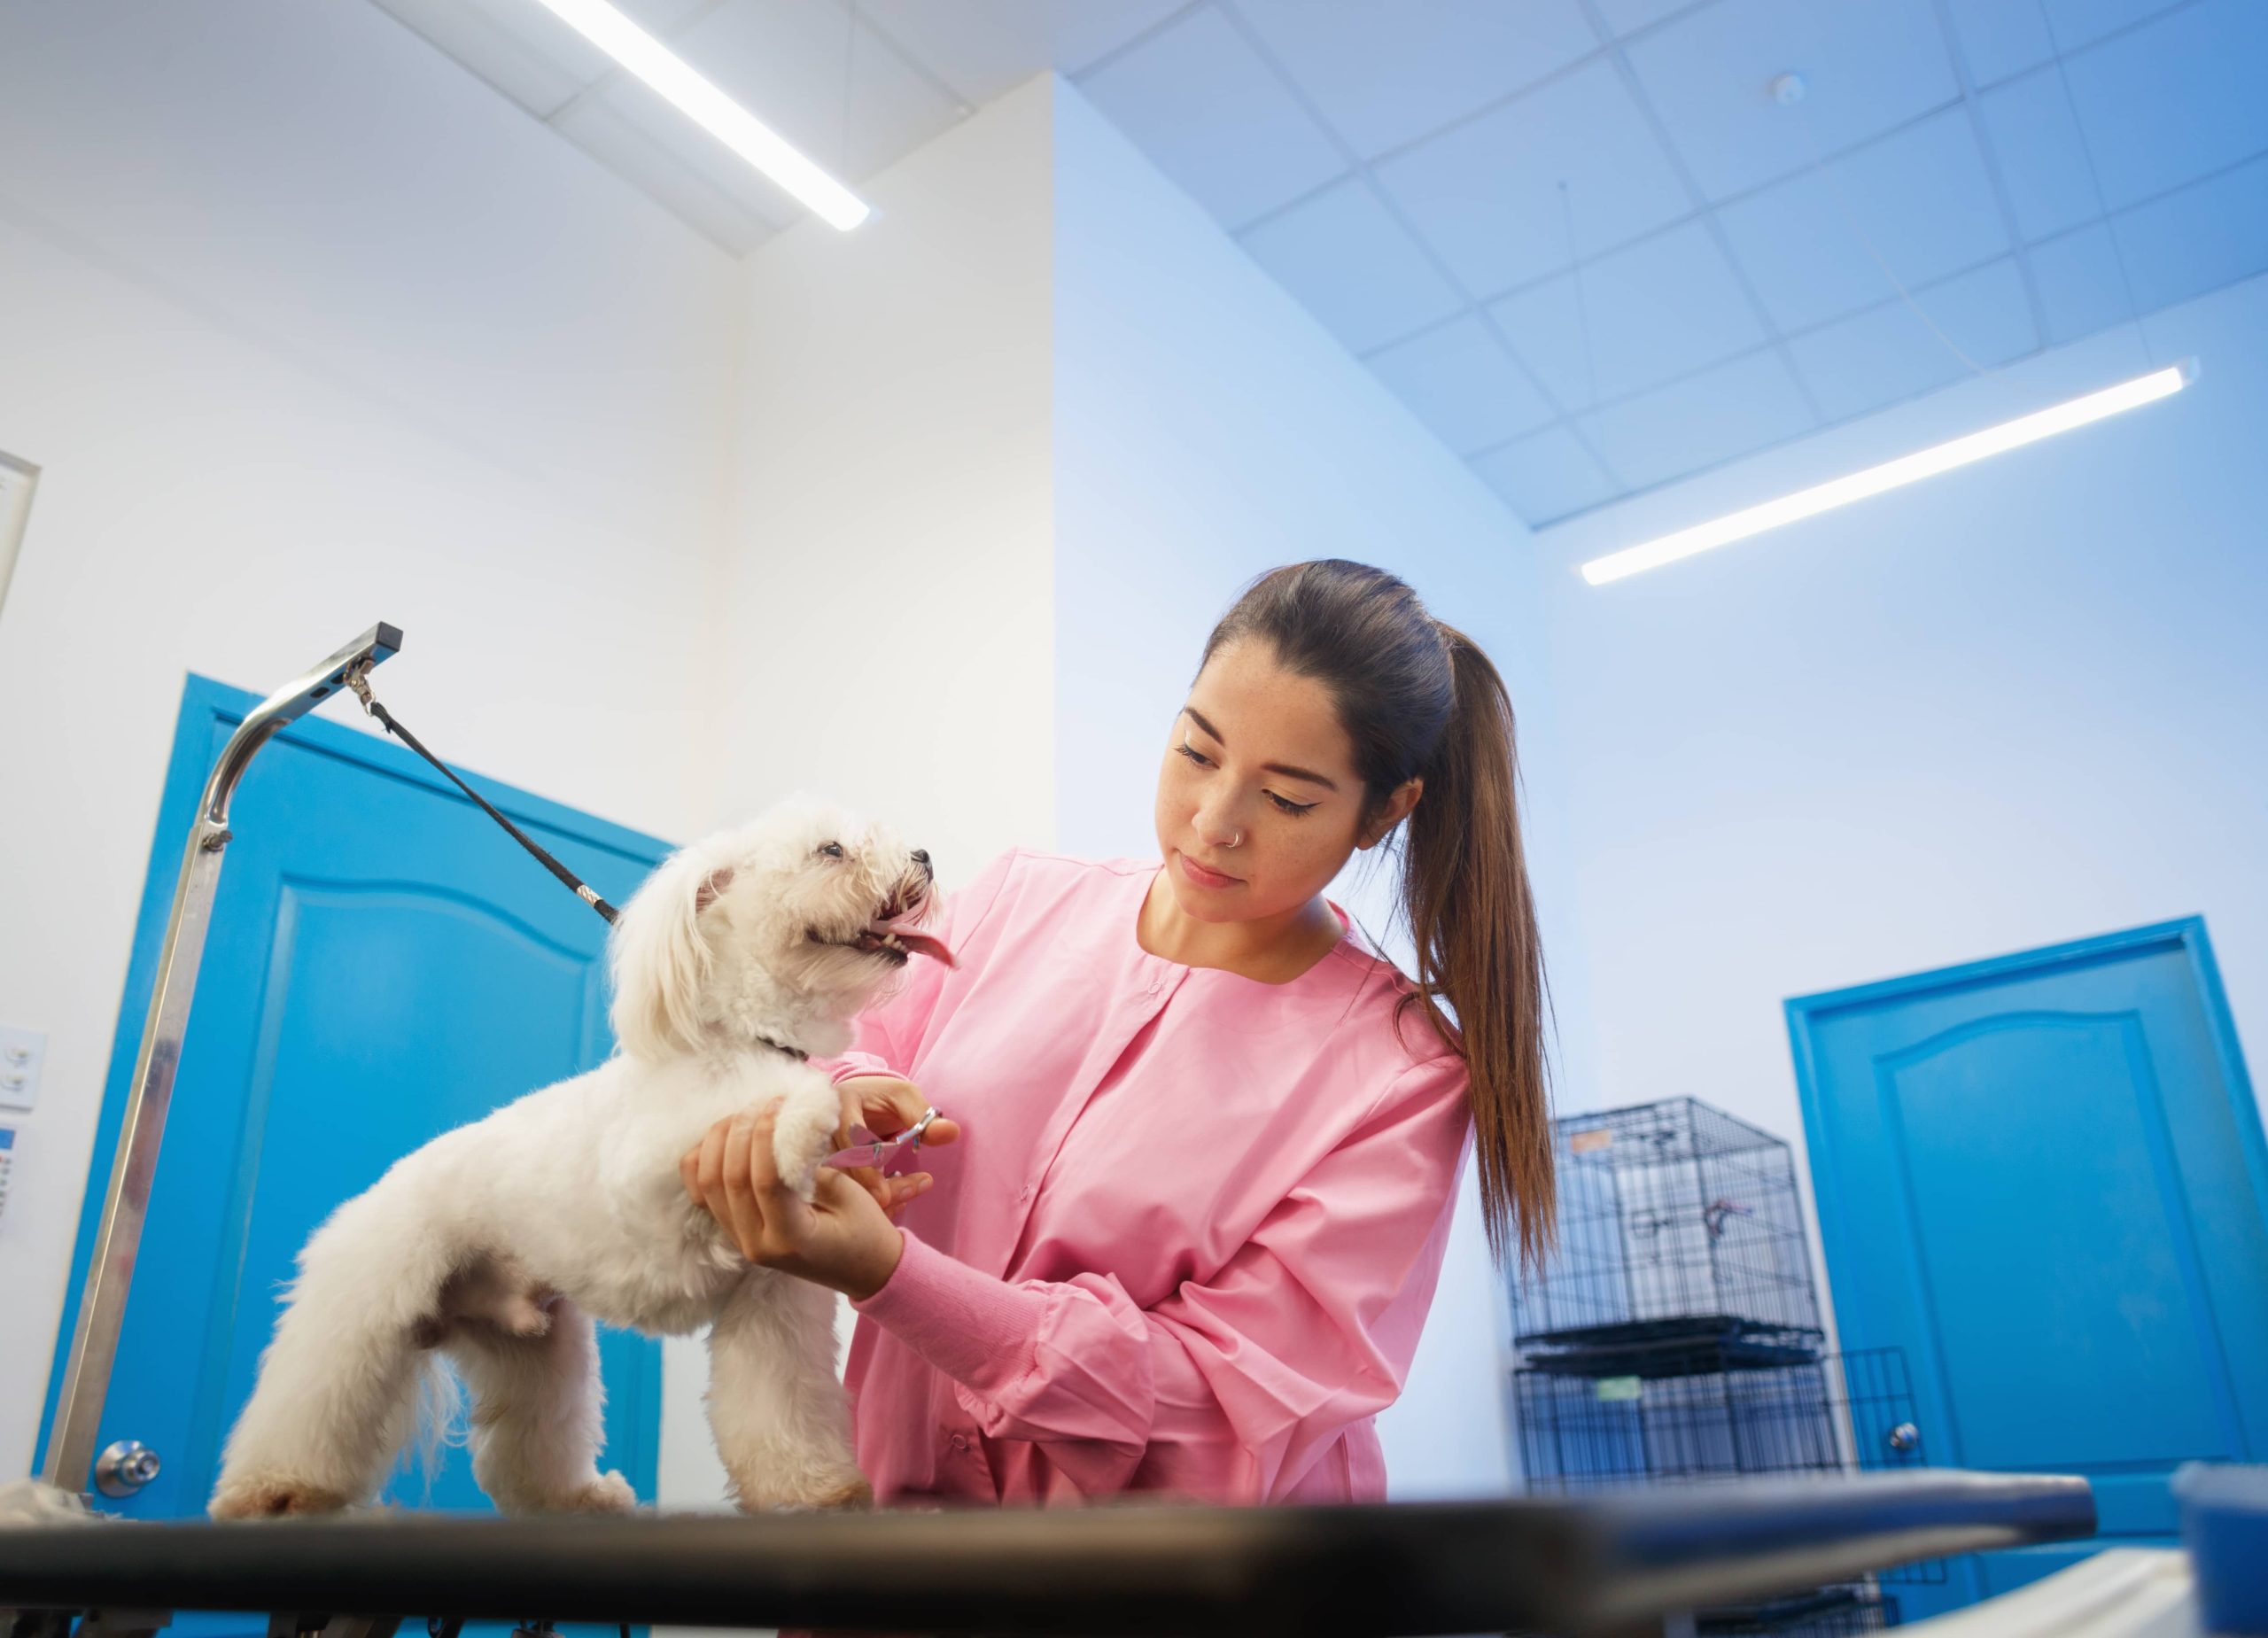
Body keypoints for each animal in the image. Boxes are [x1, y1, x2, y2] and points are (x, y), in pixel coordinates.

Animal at [208, 789, 952, 1515]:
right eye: (830, 850)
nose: (924, 854)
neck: (744, 1041)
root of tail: (379, 1188)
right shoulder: (649, 1181)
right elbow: (754, 1116)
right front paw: (804, 1112)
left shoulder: (773, 1297)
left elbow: (782, 1404)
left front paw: (814, 1487)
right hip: (358, 1321)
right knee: (311, 1402)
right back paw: (271, 1489)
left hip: (534, 1349)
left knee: (523, 1449)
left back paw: (577, 1495)